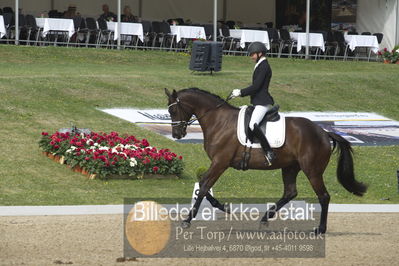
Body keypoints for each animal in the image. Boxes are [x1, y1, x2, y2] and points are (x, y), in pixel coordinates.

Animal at [164, 87, 368, 233]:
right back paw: (264, 219)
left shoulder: (220, 162)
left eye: (173, 111)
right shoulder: (218, 163)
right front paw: (224, 207)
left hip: (312, 171)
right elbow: (202, 185)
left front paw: (188, 220)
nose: (177, 134)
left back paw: (320, 229)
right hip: (290, 167)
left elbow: (204, 185)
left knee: (324, 196)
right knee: (290, 192)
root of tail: (324, 133)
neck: (218, 120)